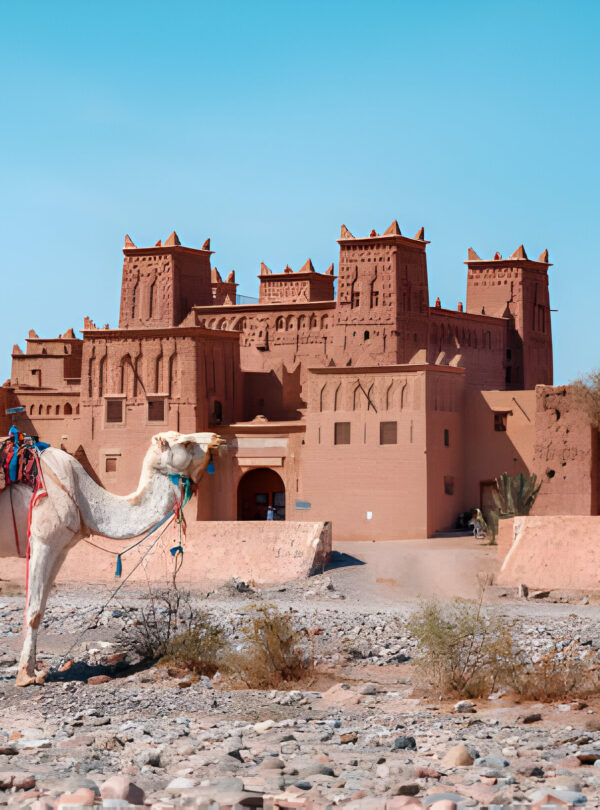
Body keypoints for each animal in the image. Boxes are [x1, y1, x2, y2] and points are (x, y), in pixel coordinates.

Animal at [0, 430, 223, 686]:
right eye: (186, 443)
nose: (217, 439)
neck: (82, 496)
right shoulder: (43, 540)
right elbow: (34, 610)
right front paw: (26, 677)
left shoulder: (60, 550)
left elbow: (42, 606)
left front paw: (36, 671)